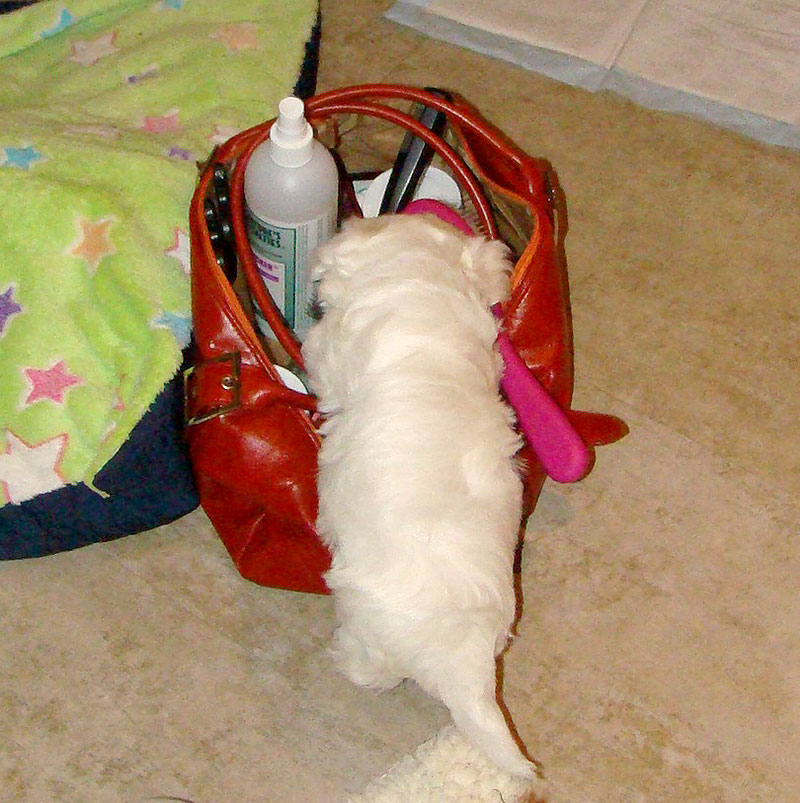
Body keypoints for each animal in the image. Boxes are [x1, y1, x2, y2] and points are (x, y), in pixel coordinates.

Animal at [302, 212, 534, 778]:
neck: (422, 287)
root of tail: (460, 656)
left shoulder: (332, 349)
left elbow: (317, 355)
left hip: (368, 629)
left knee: (372, 670)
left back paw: (342, 659)